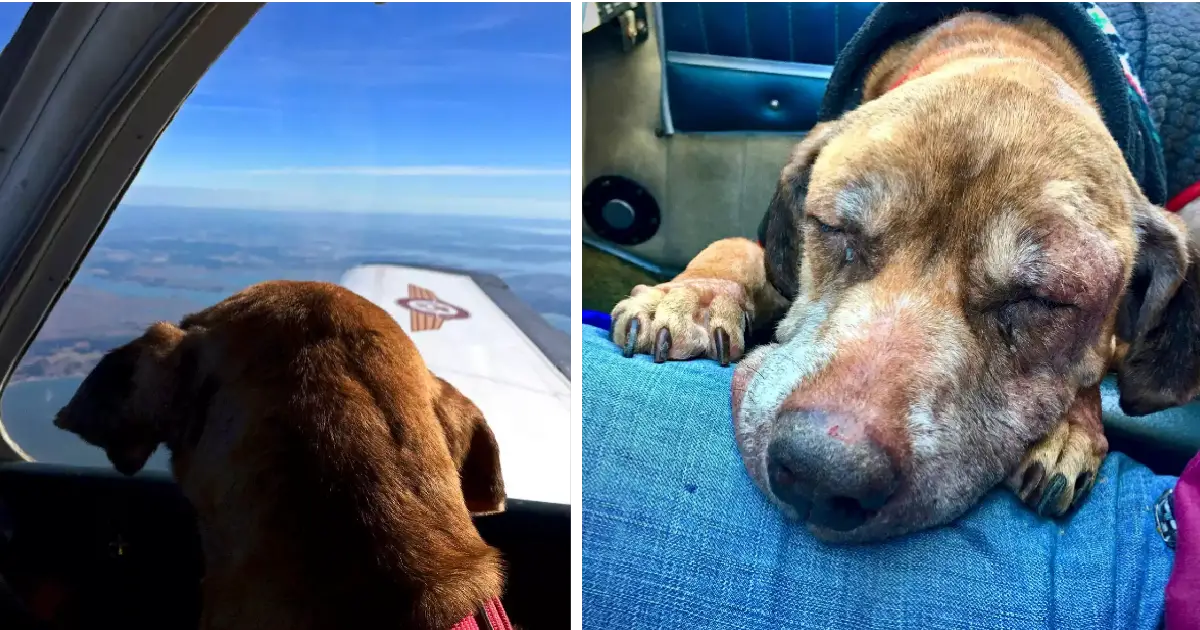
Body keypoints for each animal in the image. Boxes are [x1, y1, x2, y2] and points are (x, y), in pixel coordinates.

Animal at [614, 7, 1195, 542]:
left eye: (1043, 299)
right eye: (833, 228)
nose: (823, 474)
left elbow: (1093, 368)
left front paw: (1073, 424)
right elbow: (733, 248)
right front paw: (687, 296)